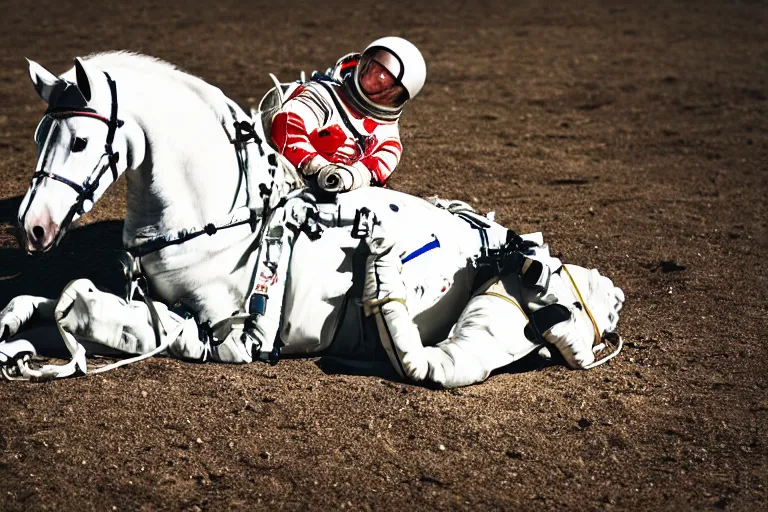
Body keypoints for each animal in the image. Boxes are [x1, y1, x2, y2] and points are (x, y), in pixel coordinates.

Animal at [0, 53, 624, 388]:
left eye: (81, 141)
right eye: (39, 133)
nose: (32, 227)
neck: (218, 216)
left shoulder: (230, 337)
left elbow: (94, 310)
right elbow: (33, 303)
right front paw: (18, 335)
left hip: (504, 305)